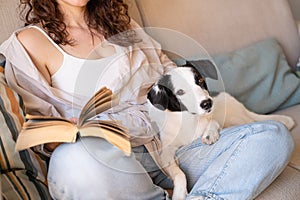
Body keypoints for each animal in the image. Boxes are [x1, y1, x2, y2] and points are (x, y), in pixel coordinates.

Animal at [146, 59, 294, 200]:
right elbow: (179, 173)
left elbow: (213, 122)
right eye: (180, 92)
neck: (190, 119)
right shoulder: (165, 154)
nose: (207, 103)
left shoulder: (213, 119)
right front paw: (179, 193)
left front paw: (209, 134)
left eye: (200, 81)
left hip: (236, 118)